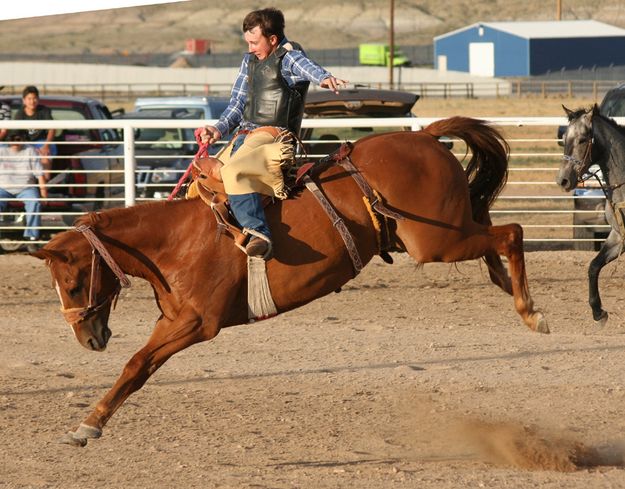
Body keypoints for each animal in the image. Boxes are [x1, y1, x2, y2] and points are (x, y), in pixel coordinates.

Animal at [33, 117, 544, 446]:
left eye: (74, 283)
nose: (87, 338)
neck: (176, 239)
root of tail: (425, 136)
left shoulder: (196, 323)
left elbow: (136, 364)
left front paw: (87, 426)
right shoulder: (174, 320)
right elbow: (136, 370)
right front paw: (89, 423)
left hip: (435, 240)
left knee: (512, 232)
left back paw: (531, 312)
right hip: (443, 231)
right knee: (493, 232)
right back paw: (505, 284)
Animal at [560, 105, 625, 322]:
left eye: (582, 139)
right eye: (564, 138)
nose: (563, 180)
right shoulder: (618, 235)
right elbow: (594, 266)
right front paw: (598, 311)